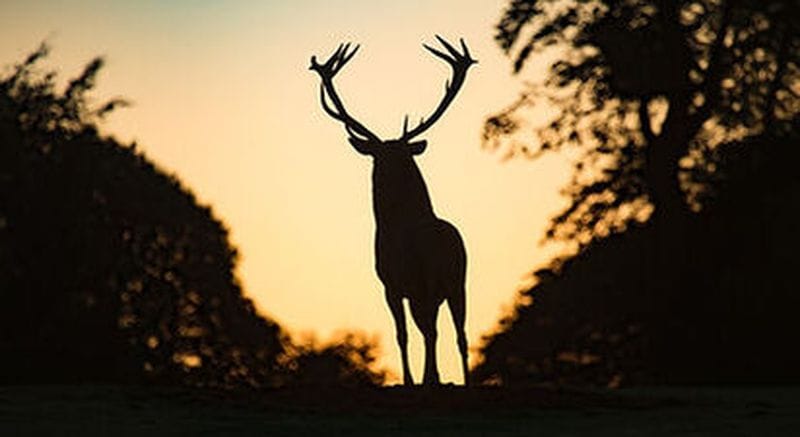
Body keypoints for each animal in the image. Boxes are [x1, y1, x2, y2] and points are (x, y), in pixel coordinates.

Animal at [310, 36, 476, 386]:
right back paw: (448, 377)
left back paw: (446, 378)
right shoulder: (398, 286)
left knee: (446, 332)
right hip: (446, 283)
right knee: (445, 332)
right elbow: (409, 334)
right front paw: (418, 378)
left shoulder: (395, 283)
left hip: (445, 281)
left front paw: (418, 379)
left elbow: (410, 334)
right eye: (382, 154)